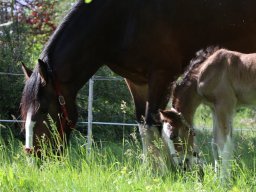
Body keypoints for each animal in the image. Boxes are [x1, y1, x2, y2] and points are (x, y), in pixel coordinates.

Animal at [161, 47, 256, 178]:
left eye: (173, 136)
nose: (182, 167)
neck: (203, 72)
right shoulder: (214, 108)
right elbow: (215, 145)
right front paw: (217, 178)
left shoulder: (224, 104)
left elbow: (224, 145)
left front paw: (224, 181)